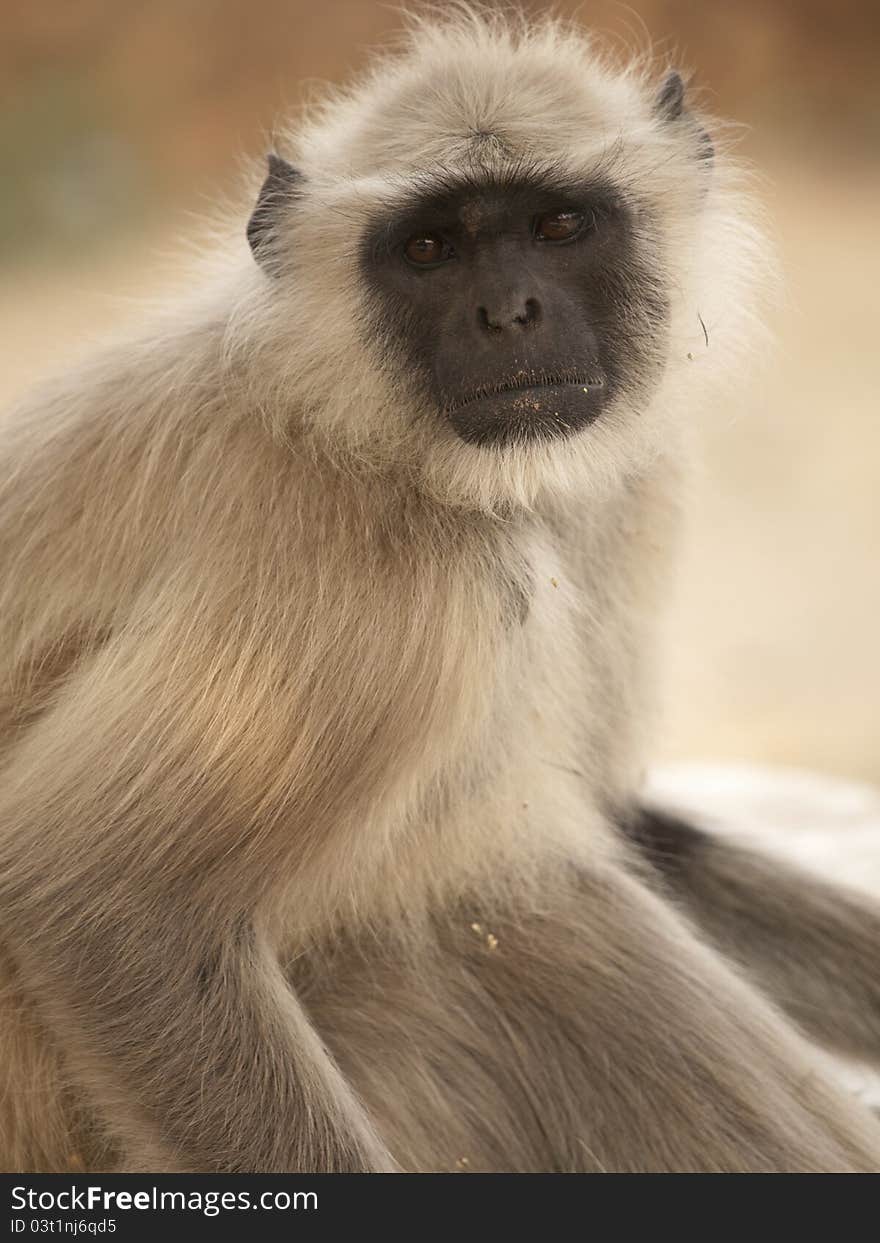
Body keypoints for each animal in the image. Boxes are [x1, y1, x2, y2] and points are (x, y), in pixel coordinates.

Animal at [1, 12, 879, 1173]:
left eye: (559, 226)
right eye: (429, 249)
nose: (508, 312)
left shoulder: (629, 483)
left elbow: (617, 819)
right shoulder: (367, 571)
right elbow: (108, 909)